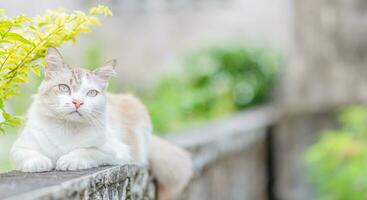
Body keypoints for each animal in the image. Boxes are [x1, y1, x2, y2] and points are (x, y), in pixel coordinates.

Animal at [10, 46, 194, 199]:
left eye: (91, 93)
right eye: (64, 88)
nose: (78, 102)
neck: (67, 127)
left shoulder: (115, 151)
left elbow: (85, 151)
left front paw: (69, 160)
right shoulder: (19, 146)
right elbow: (28, 154)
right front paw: (39, 162)